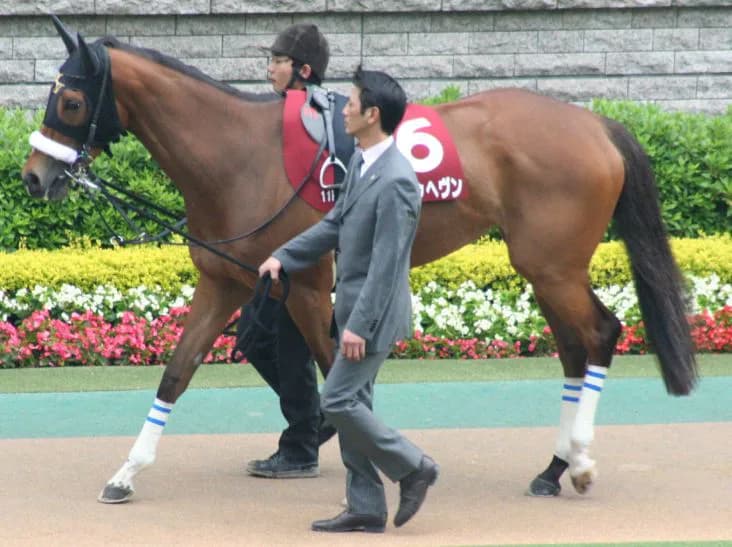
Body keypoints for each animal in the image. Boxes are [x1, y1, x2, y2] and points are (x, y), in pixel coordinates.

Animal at [21, 18, 697, 504]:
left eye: (72, 101)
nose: (33, 177)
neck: (238, 154)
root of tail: (596, 123)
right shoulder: (225, 283)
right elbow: (176, 373)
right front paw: (126, 473)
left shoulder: (304, 286)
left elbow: (331, 373)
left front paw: (369, 462)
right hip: (546, 268)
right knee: (575, 348)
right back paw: (553, 469)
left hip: (554, 265)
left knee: (600, 334)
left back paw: (577, 463)